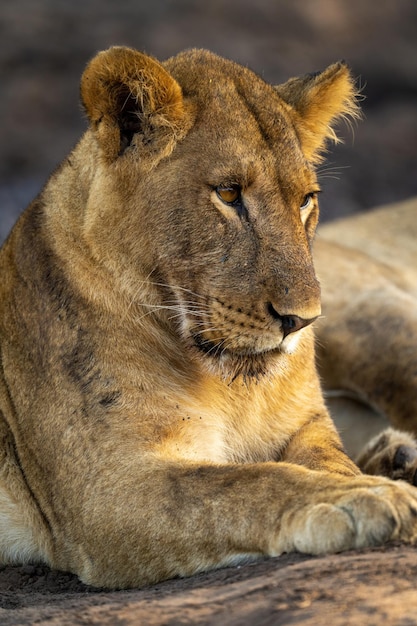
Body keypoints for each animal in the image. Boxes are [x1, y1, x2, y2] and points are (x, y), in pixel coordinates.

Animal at [0, 46, 416, 588]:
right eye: (229, 193)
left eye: (306, 200)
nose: (303, 320)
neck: (228, 385)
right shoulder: (107, 489)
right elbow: (246, 484)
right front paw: (364, 496)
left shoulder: (304, 425)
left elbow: (326, 461)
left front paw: (361, 481)